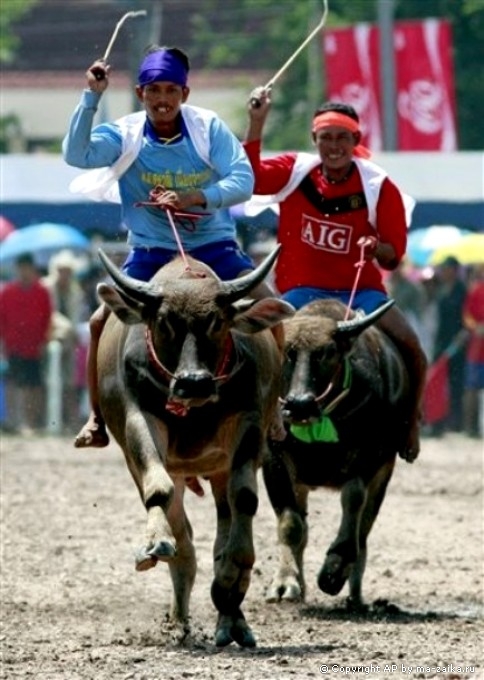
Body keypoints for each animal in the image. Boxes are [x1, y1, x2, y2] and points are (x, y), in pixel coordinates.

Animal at [92, 247, 294, 644]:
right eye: (165, 322)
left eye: (216, 321)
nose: (194, 382)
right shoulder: (139, 418)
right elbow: (159, 491)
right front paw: (154, 542)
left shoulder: (248, 423)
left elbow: (244, 499)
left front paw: (234, 574)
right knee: (182, 533)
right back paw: (179, 618)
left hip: (218, 468)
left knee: (223, 523)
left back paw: (231, 618)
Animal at [260, 300, 408, 608]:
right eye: (286, 351)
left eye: (327, 352)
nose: (299, 404)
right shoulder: (274, 459)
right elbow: (291, 524)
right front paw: (285, 583)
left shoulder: (369, 459)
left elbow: (353, 501)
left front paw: (334, 569)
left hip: (384, 472)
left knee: (364, 529)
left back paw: (355, 595)